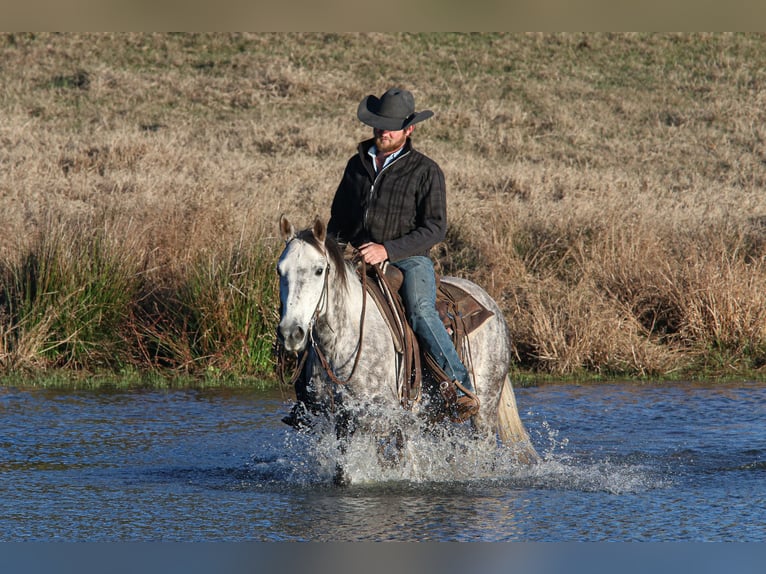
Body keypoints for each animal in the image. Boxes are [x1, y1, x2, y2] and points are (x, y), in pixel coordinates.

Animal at [278, 214, 540, 480]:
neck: (343, 345)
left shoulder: (382, 417)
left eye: (319, 270)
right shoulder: (341, 420)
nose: (291, 333)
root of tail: (490, 303)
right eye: (280, 271)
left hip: (485, 408)